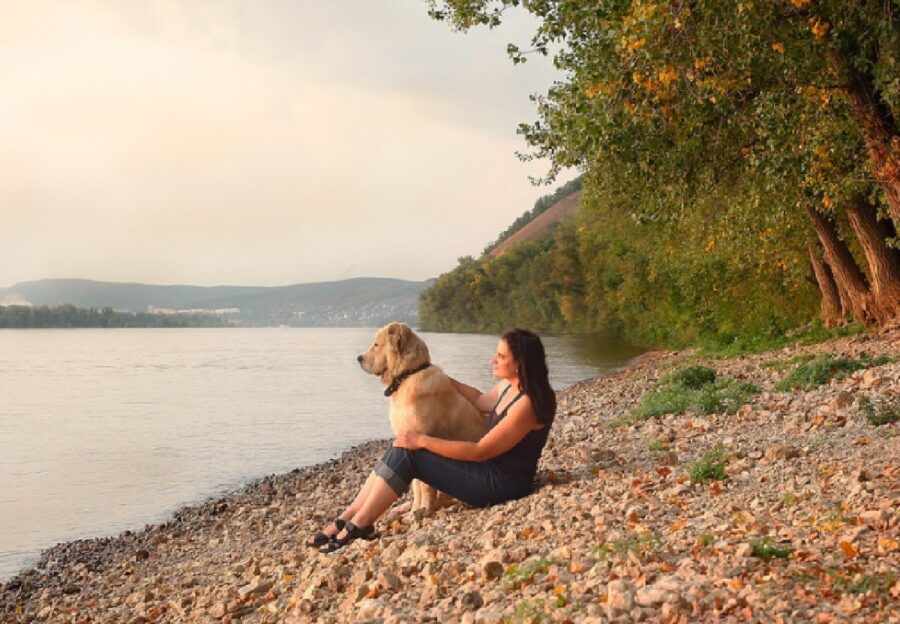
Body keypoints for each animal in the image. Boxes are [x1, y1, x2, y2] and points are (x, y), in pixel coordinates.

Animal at [358, 324, 486, 510]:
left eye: (376, 344)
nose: (358, 358)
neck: (408, 374)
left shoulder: (419, 441)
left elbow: (424, 485)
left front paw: (425, 508)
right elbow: (416, 485)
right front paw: (415, 509)